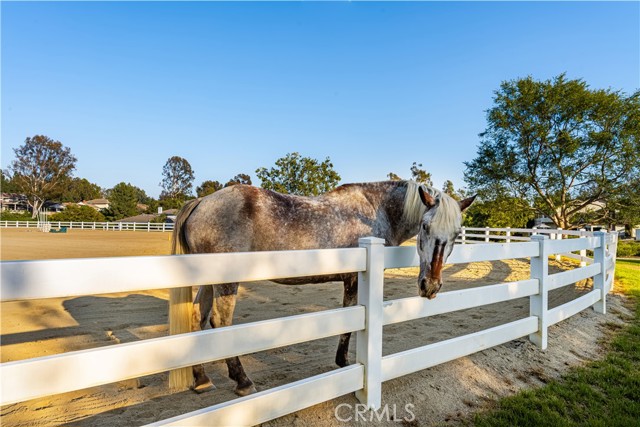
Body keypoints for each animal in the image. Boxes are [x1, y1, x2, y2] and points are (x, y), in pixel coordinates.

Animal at [168, 180, 472, 394]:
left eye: (457, 234)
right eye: (425, 226)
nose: (430, 286)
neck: (376, 211)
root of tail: (201, 202)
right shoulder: (354, 280)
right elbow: (350, 323)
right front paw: (344, 363)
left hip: (207, 280)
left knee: (197, 318)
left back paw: (202, 379)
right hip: (226, 282)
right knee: (220, 322)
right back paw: (243, 381)